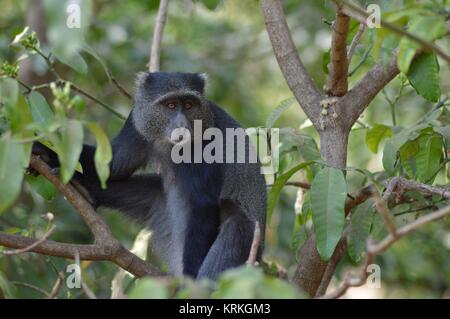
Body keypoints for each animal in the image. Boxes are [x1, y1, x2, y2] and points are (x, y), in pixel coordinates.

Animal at [36, 72, 268, 280]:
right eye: (171, 105)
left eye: (189, 105)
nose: (182, 125)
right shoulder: (137, 122)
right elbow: (113, 165)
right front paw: (43, 150)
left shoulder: (208, 145)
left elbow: (203, 205)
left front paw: (190, 280)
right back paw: (85, 189)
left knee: (236, 223)